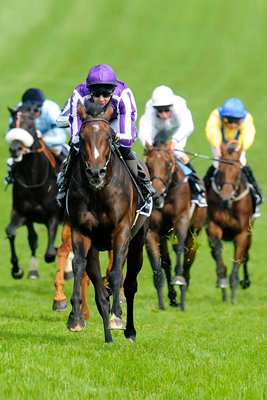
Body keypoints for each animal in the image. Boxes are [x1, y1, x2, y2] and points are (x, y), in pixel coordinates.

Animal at [5, 103, 62, 278]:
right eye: (11, 126)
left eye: (30, 126)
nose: (16, 149)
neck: (33, 181)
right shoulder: (21, 213)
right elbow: (12, 232)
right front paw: (17, 270)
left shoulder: (54, 215)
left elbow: (50, 253)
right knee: (32, 238)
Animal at [65, 102, 149, 340]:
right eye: (82, 136)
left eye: (109, 136)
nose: (96, 172)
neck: (98, 193)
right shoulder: (81, 230)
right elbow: (78, 265)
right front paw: (75, 318)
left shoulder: (121, 230)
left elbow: (116, 273)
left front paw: (117, 317)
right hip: (95, 248)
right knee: (100, 293)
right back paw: (108, 339)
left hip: (138, 241)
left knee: (130, 284)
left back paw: (129, 330)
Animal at [146, 142, 206, 310]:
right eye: (148, 164)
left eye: (168, 164)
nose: (156, 195)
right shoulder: (153, 232)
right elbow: (157, 265)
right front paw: (161, 302)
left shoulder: (181, 221)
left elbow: (179, 247)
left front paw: (179, 279)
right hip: (164, 236)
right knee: (166, 262)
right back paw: (173, 298)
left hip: (194, 232)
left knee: (188, 259)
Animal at [206, 141, 254, 304]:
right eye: (220, 169)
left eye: (237, 169)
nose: (225, 198)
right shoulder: (213, 226)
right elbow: (218, 252)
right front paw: (222, 283)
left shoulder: (243, 233)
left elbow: (238, 259)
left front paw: (233, 296)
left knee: (246, 256)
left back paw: (245, 281)